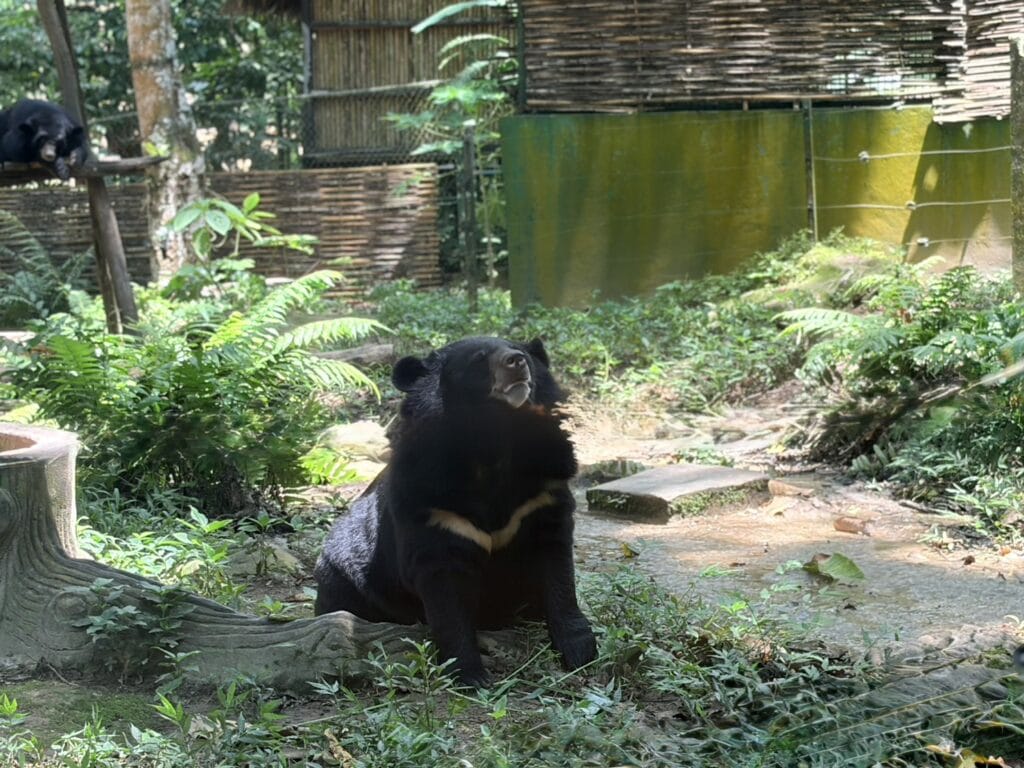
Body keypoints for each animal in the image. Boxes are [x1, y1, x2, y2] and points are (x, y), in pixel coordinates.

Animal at [314, 336, 597, 687]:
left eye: (523, 353)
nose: (517, 362)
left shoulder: (543, 493)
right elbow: (446, 595)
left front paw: (580, 650)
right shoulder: (433, 505)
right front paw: (470, 674)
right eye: (479, 358)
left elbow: (557, 571)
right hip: (344, 576)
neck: (496, 440)